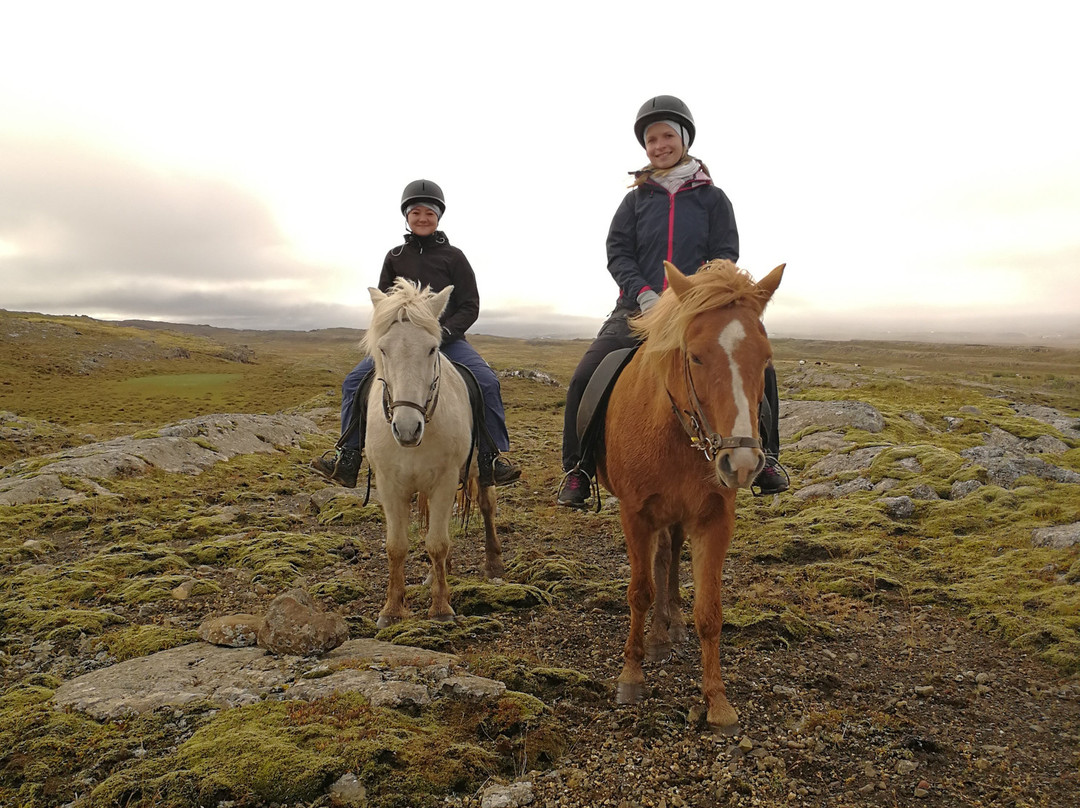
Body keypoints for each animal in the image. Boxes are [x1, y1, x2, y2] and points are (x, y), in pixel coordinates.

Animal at [363, 278, 501, 629]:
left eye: (431, 348)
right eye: (382, 349)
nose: (407, 428)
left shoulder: (445, 479)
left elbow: (438, 543)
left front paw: (440, 607)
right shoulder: (389, 485)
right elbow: (396, 546)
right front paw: (392, 609)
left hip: (479, 471)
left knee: (486, 506)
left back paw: (493, 563)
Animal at [597, 258, 784, 731]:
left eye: (766, 358)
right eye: (696, 355)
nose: (742, 463)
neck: (675, 435)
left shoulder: (714, 519)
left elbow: (710, 612)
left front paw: (717, 700)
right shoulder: (635, 514)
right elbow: (639, 592)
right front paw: (631, 675)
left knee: (669, 559)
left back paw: (671, 627)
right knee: (659, 564)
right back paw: (658, 636)